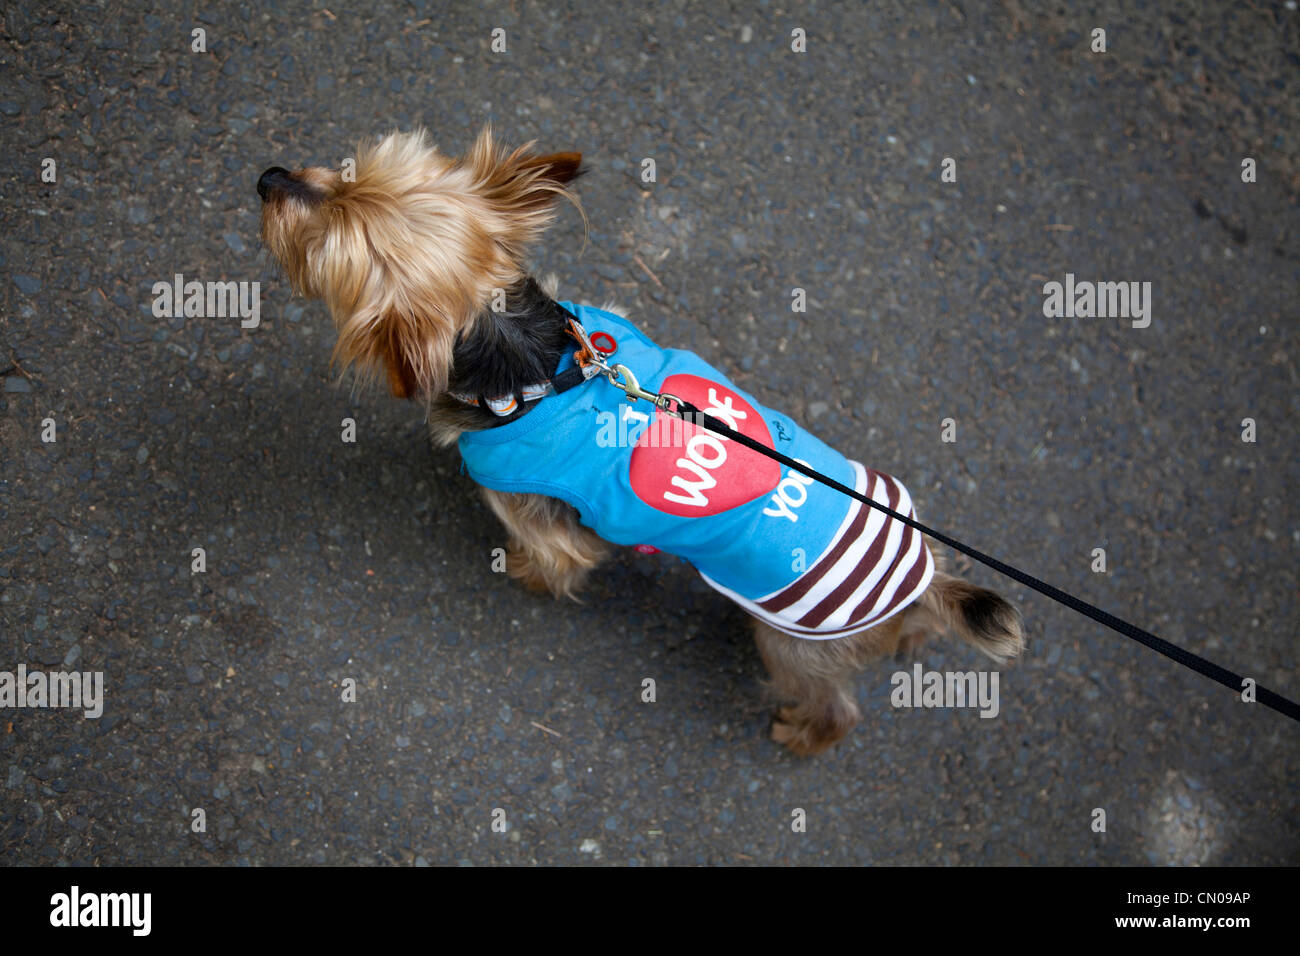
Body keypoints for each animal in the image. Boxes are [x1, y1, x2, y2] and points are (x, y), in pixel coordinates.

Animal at [256, 125, 1024, 754]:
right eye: (347, 171)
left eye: (316, 245)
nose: (268, 176)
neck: (532, 363)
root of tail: (922, 586)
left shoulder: (531, 508)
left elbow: (556, 557)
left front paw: (526, 574)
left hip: (793, 645)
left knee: (835, 708)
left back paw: (801, 733)